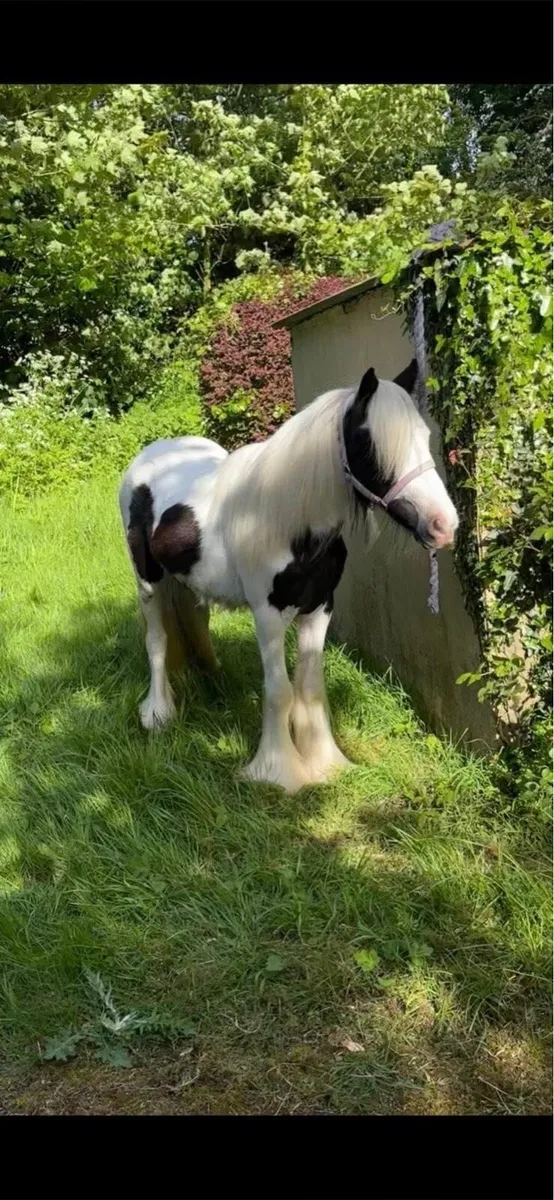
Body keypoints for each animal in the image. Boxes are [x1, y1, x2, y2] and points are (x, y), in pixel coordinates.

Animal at [119, 359, 459, 794]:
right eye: (370, 445)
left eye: (424, 436)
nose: (443, 525)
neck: (286, 521)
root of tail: (152, 454)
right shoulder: (268, 614)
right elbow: (279, 691)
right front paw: (278, 772)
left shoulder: (319, 608)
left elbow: (310, 689)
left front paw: (324, 764)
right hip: (148, 582)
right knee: (157, 639)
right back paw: (158, 714)